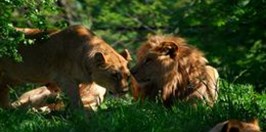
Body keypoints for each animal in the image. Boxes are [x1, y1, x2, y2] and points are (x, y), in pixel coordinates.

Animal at [0, 25, 131, 109]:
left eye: (128, 76)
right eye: (114, 75)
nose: (125, 91)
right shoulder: (65, 80)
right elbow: (76, 102)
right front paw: (83, 118)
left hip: (14, 78)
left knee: (4, 90)